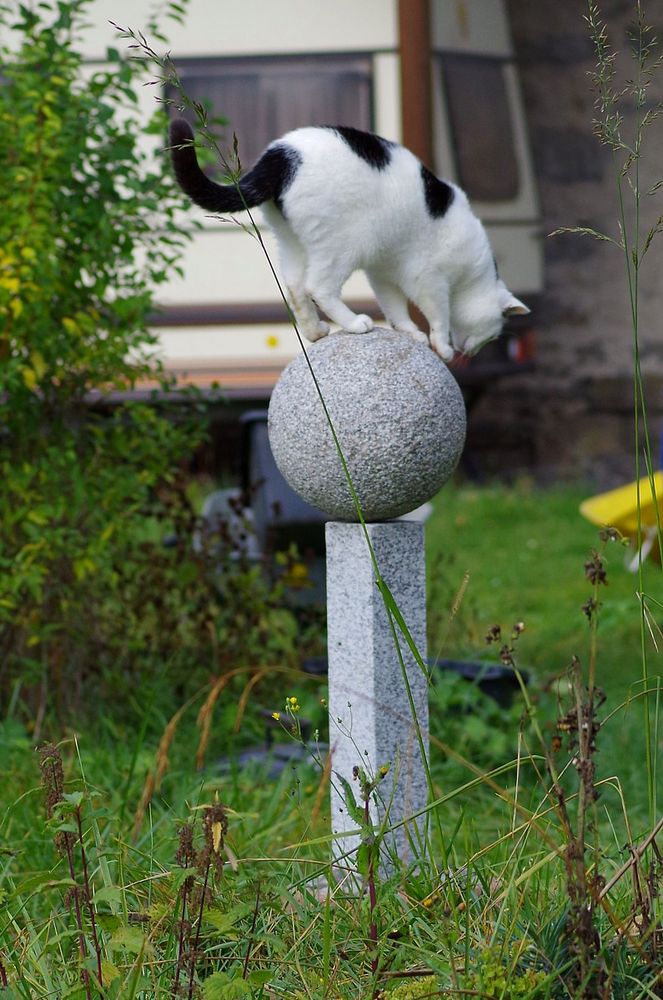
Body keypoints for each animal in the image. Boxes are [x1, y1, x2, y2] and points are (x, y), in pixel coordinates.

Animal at [170, 118, 528, 360]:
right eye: (494, 336)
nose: (474, 352)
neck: (472, 273)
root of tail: (281, 157)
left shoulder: (384, 273)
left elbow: (394, 307)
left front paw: (410, 333)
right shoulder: (428, 278)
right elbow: (437, 314)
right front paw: (442, 346)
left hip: (292, 241)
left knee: (295, 286)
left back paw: (314, 330)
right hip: (341, 247)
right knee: (318, 287)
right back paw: (355, 323)